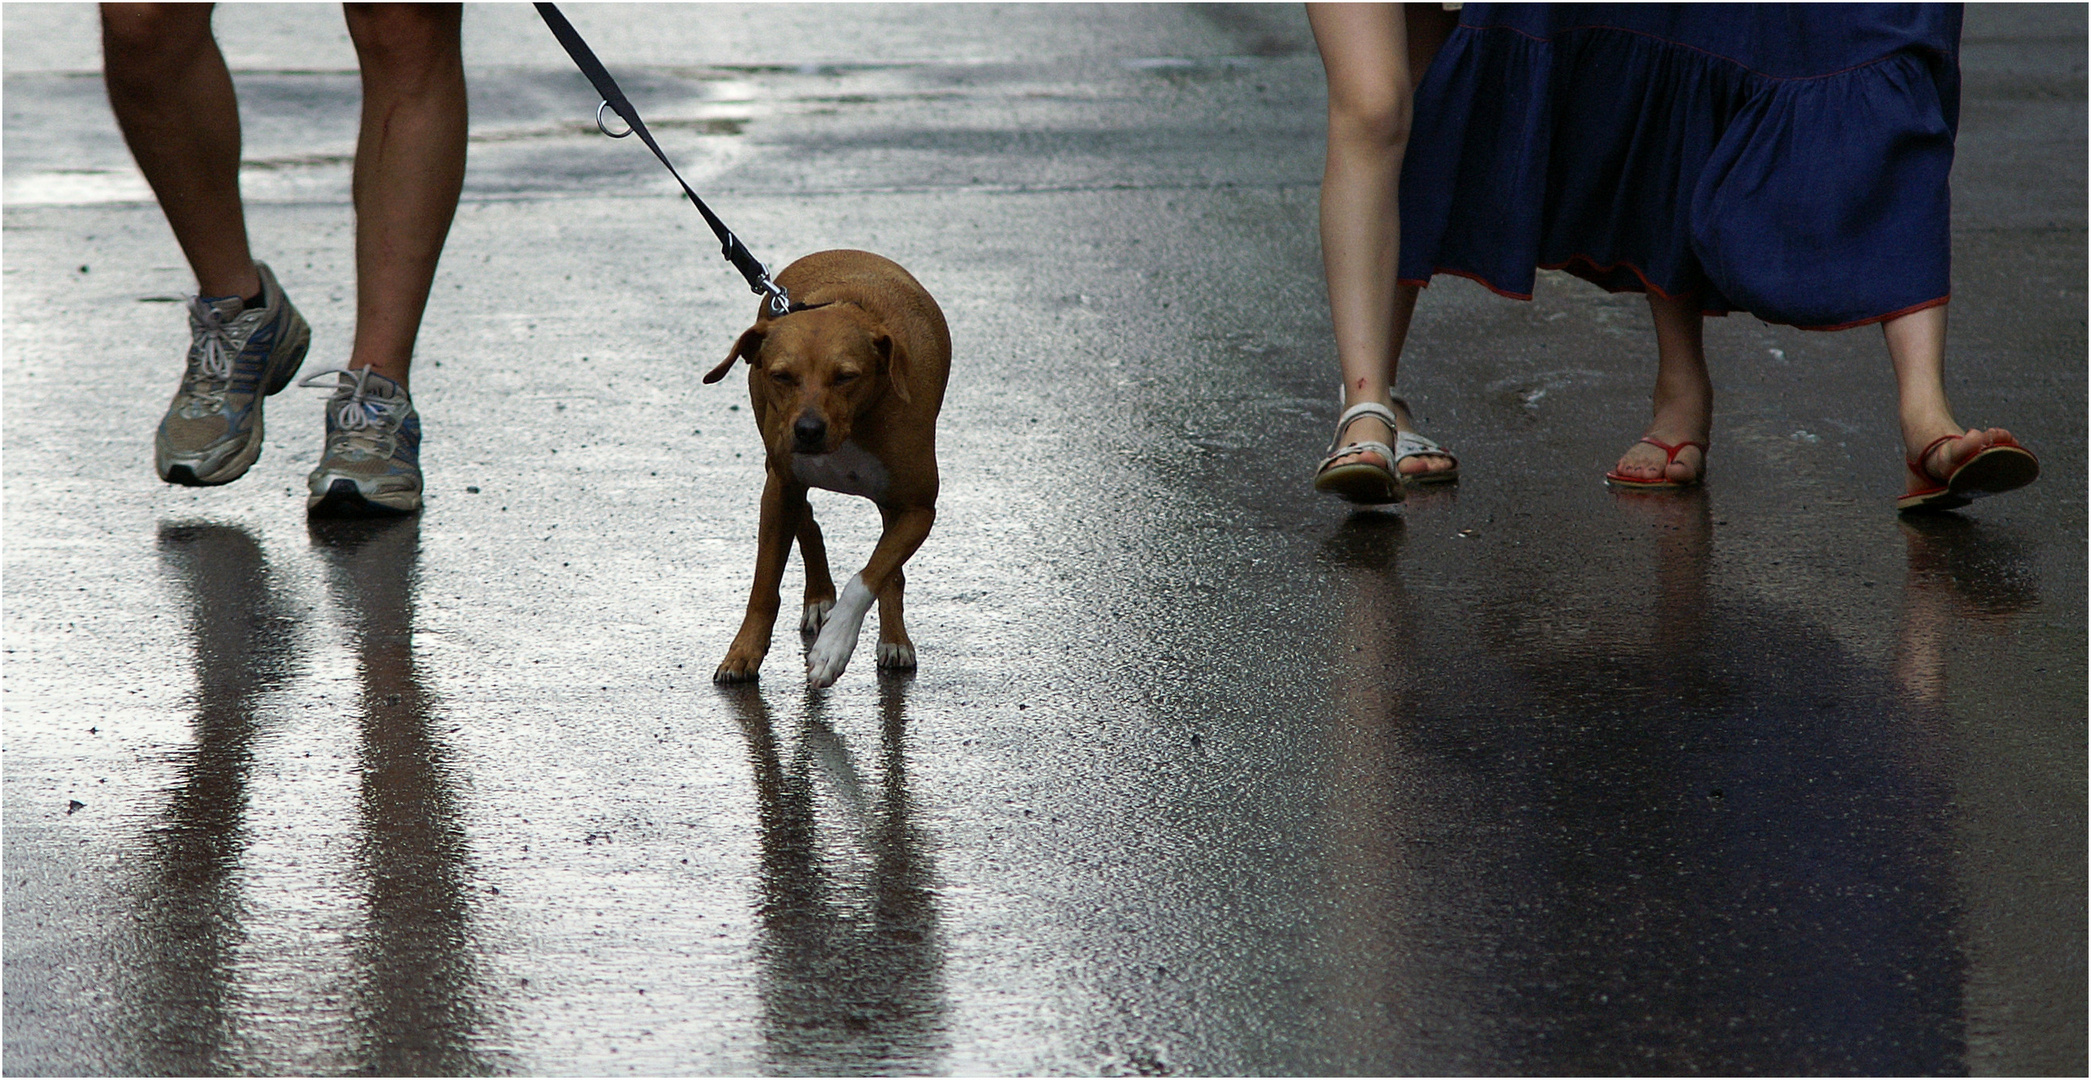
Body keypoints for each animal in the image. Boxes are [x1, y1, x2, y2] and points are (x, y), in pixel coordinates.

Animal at [710, 250, 957, 686]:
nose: (808, 430)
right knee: (806, 518)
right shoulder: (781, 487)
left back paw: (893, 639)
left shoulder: (918, 509)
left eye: (845, 377)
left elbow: (872, 574)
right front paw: (743, 651)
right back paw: (819, 595)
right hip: (778, 471)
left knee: (889, 569)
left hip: (892, 504)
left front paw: (834, 644)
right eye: (781, 376)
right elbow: (764, 586)